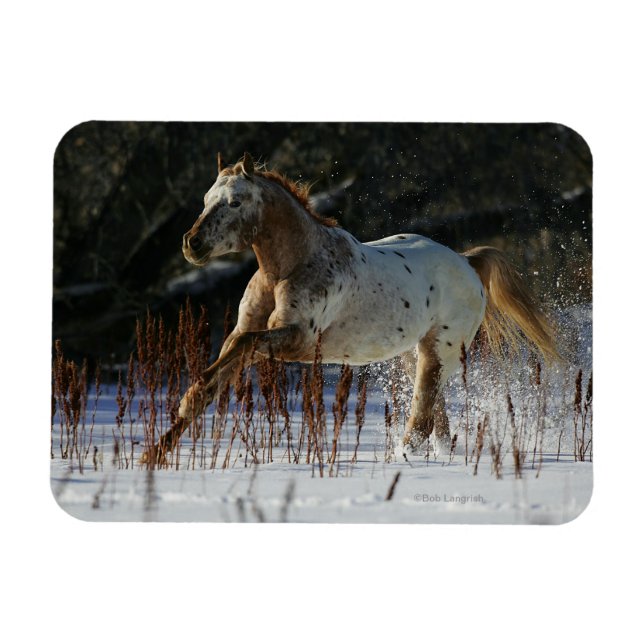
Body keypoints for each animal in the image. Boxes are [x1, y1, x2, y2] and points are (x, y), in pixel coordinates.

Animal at [142, 152, 559, 464]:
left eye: (235, 202)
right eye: (205, 201)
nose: (192, 244)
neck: (290, 266)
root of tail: (467, 262)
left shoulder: (296, 340)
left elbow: (239, 352)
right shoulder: (247, 332)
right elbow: (216, 377)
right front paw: (154, 454)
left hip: (439, 353)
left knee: (422, 421)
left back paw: (399, 460)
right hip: (413, 355)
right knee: (436, 420)